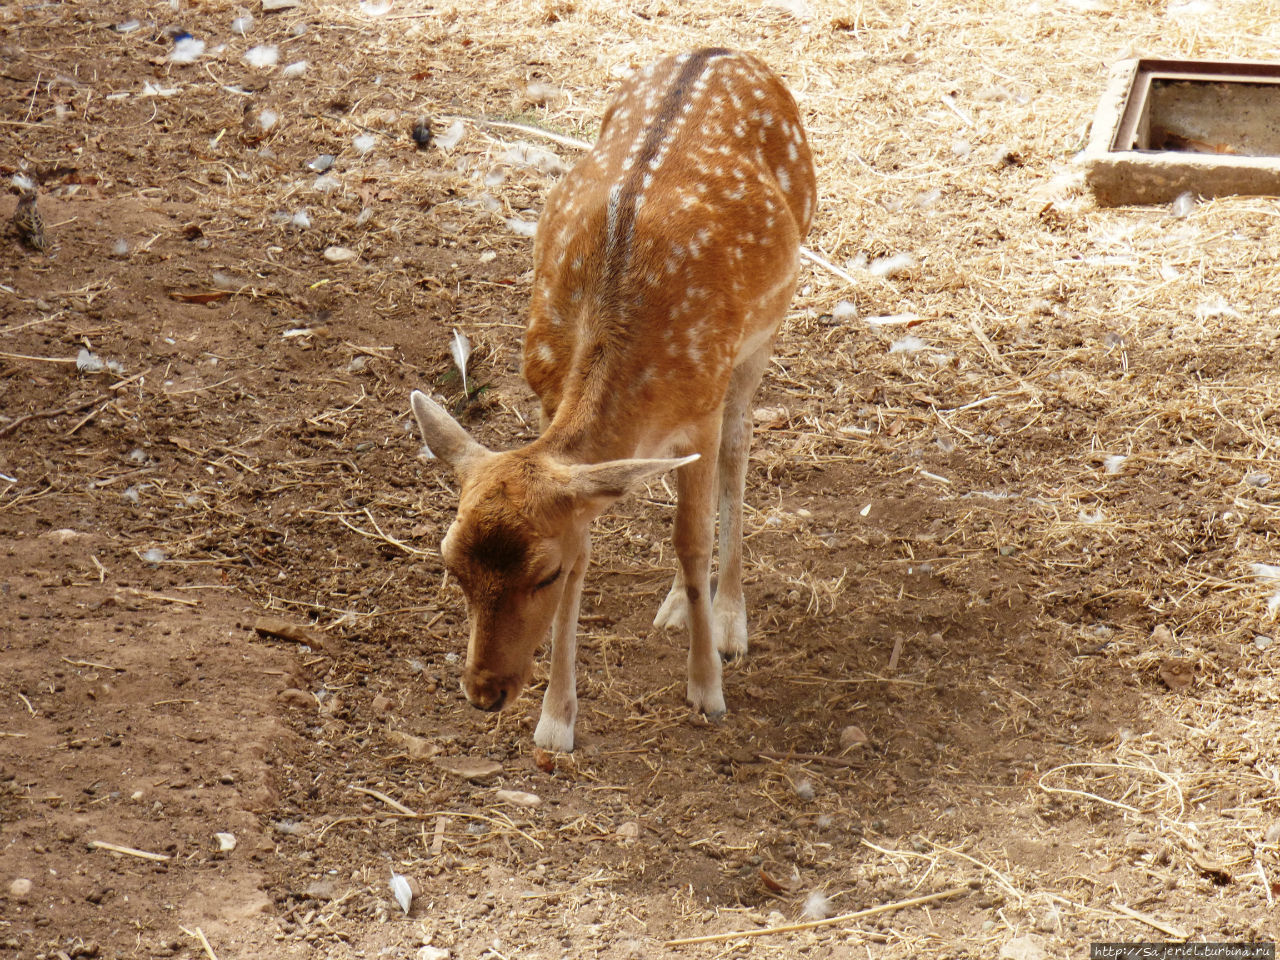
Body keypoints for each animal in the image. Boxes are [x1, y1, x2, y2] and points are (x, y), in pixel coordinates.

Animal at [414, 47, 824, 752]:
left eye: (541, 575)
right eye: (451, 564)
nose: (484, 694)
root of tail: (724, 51)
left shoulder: (701, 406)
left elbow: (690, 537)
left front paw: (707, 690)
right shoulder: (547, 399)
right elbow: (592, 544)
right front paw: (556, 721)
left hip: (763, 332)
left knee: (737, 457)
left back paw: (729, 619)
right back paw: (677, 605)